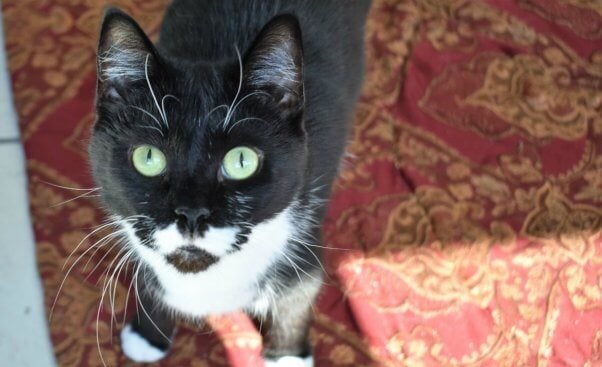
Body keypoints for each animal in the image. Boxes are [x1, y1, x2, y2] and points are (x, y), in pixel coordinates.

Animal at [89, 0, 370, 366]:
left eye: (241, 161)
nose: (191, 214)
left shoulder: (304, 237)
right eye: (148, 157)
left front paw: (287, 354)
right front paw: (148, 335)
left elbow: (299, 294)